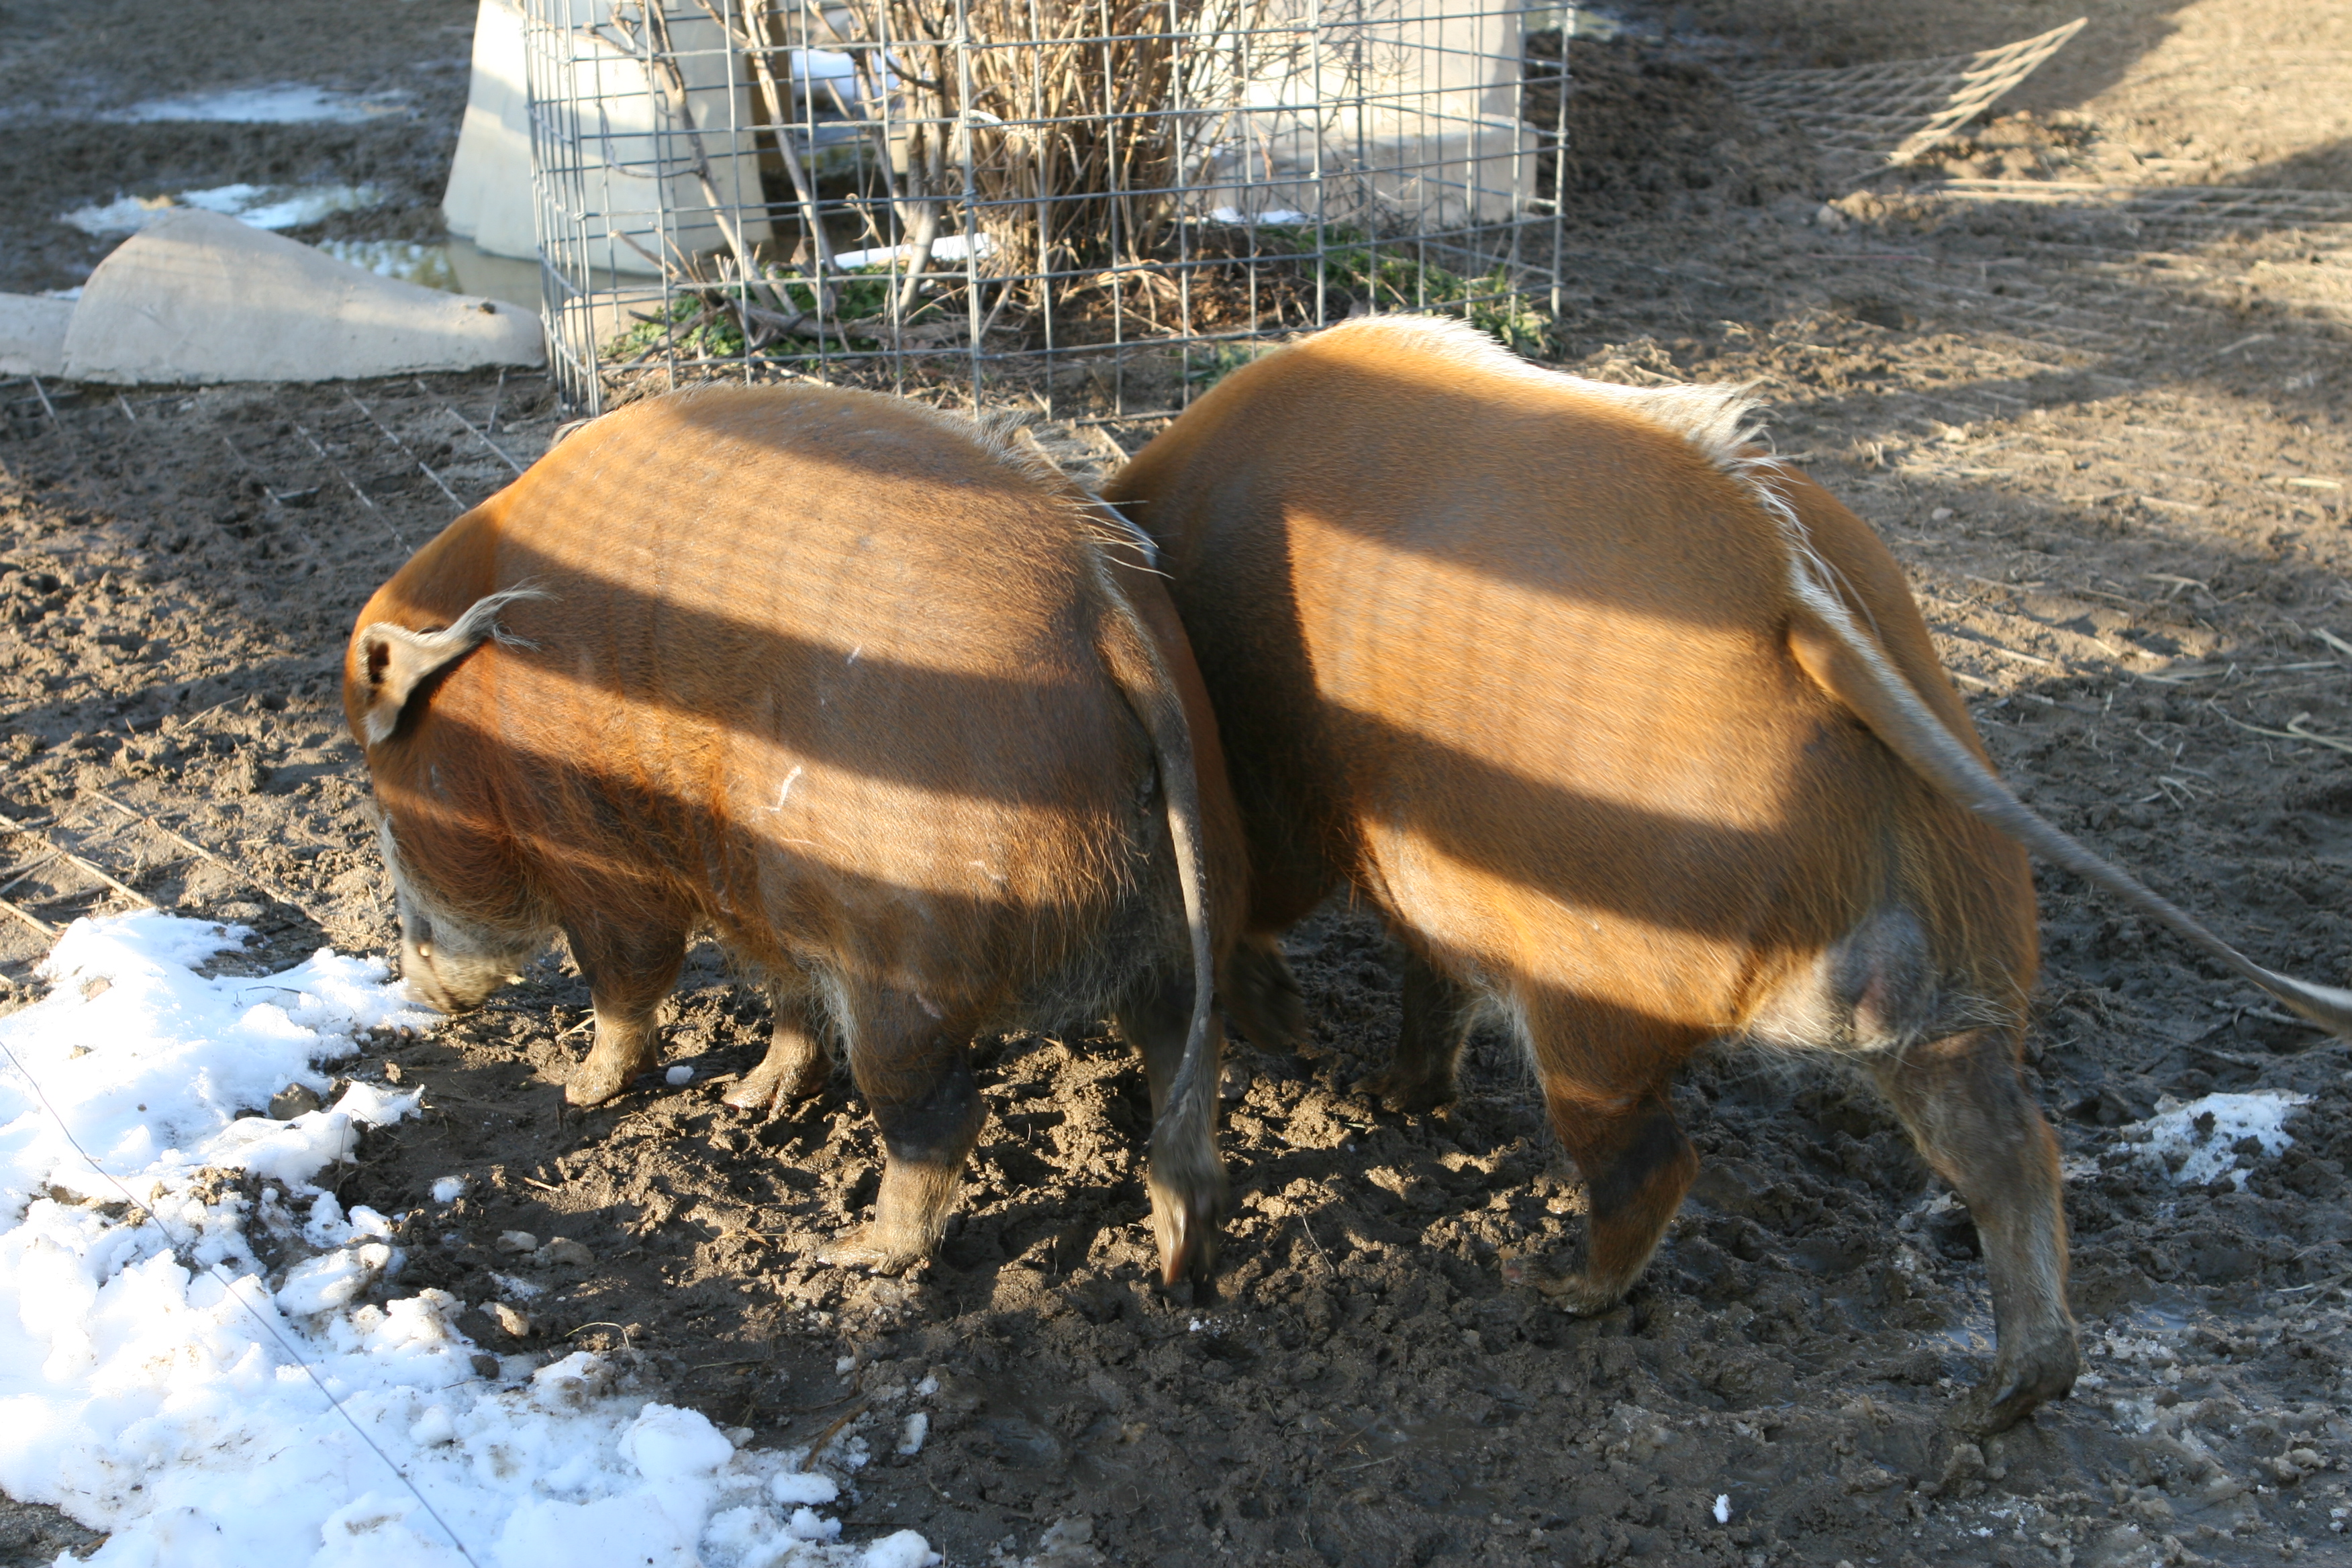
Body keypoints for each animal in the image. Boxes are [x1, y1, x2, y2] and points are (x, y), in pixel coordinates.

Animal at [341, 383, 1261, 1285]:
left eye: (385, 801)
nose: (415, 988)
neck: (490, 716)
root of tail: (1106, 615)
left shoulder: (598, 854)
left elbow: (628, 975)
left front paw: (577, 1092)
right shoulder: (759, 889)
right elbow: (787, 994)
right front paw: (745, 1098)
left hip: (905, 969)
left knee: (942, 1116)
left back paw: (853, 1252)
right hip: (1179, 914)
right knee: (1183, 1055)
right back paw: (1180, 1255)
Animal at [1101, 313, 2352, 1432]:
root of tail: (1791, 593)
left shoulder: (1292, 804)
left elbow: (1287, 914)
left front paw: (1308, 1044)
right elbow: (1430, 979)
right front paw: (1380, 1095)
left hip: (1595, 1004)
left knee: (1655, 1161)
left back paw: (1553, 1290)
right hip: (1960, 958)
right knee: (2007, 1144)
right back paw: (1998, 1407)